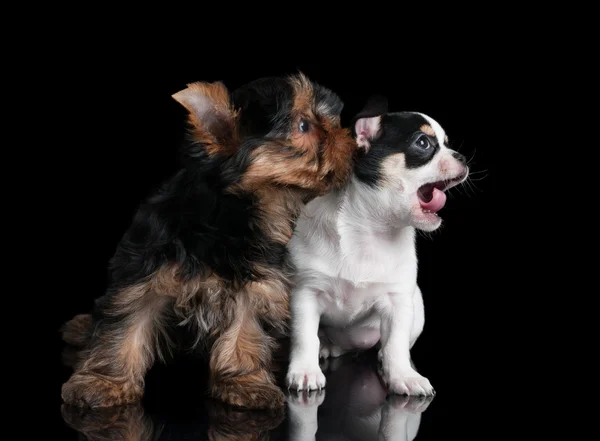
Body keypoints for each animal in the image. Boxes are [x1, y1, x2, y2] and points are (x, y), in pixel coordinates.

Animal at [59, 73, 356, 410]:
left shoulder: (256, 283)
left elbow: (244, 330)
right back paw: (82, 327)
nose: (349, 142)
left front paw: (243, 381)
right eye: (304, 125)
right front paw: (103, 382)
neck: (231, 216)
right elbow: (125, 325)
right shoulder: (146, 270)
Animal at [284, 96, 468, 396]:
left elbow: (395, 344)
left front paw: (403, 375)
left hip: (416, 306)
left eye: (446, 143)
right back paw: (327, 347)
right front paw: (305, 371)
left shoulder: (398, 302)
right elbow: (305, 337)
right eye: (423, 143)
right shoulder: (305, 295)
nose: (461, 157)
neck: (371, 230)